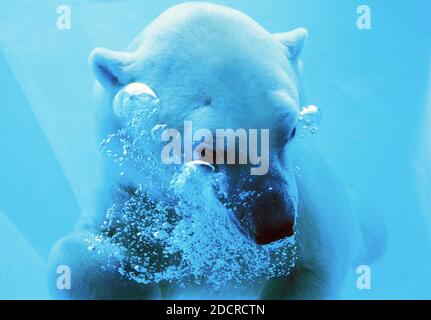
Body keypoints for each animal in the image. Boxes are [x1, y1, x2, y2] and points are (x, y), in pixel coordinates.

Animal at [48, 1, 384, 300]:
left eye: (290, 131)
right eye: (206, 151)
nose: (274, 225)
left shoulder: (312, 210)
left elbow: (314, 264)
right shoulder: (136, 197)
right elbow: (78, 256)